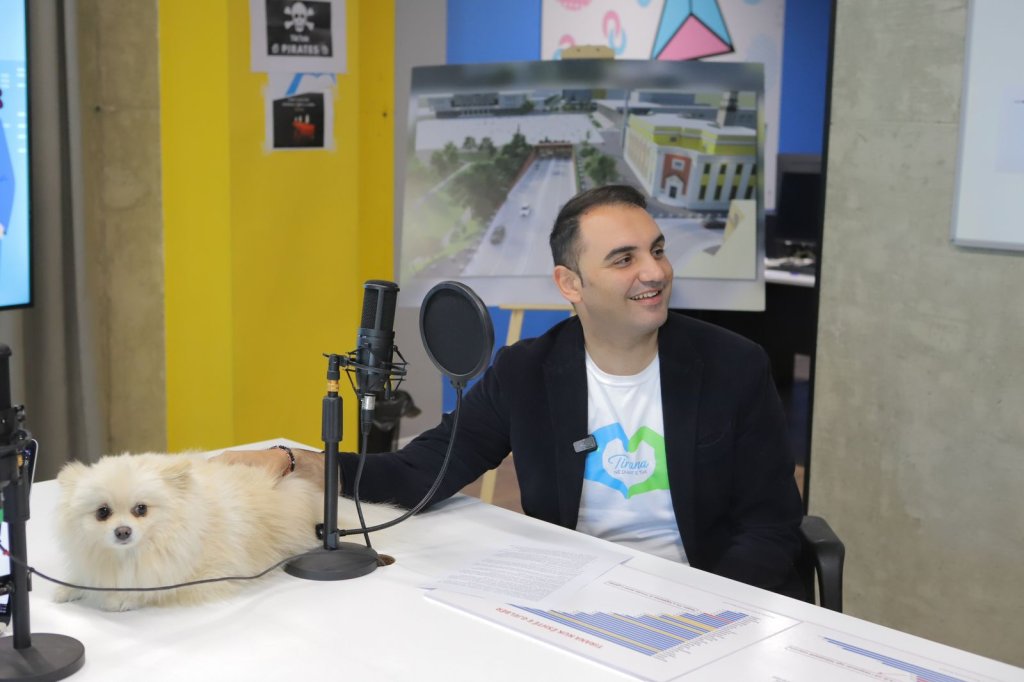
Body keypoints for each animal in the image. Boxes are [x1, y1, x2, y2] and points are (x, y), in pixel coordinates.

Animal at [53, 452, 324, 611]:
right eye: (103, 512)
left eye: (141, 509)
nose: (122, 531)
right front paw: (69, 587)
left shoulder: (205, 574)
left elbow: (154, 587)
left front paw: (121, 599)